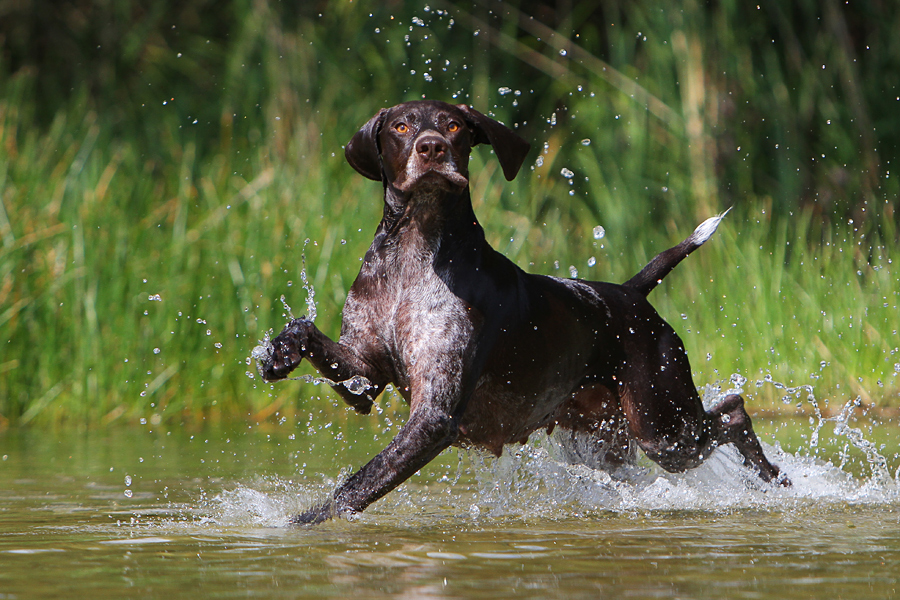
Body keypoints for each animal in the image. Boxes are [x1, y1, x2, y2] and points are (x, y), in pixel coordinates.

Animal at [255, 101, 788, 524]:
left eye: (453, 126)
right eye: (402, 127)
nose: (431, 149)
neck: (413, 254)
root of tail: (629, 293)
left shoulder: (433, 418)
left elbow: (356, 486)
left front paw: (299, 525)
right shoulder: (365, 377)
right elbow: (309, 335)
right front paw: (280, 351)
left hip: (664, 426)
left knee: (734, 412)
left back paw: (775, 480)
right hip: (605, 442)